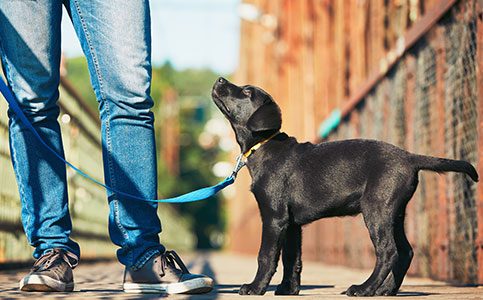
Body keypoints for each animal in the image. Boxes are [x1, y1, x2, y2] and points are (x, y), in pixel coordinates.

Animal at [213, 78, 480, 298]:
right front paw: (288, 289)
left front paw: (255, 287)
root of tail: (410, 157)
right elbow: (292, 258)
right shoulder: (291, 224)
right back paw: (385, 290)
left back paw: (364, 289)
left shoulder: (274, 217)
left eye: (247, 91)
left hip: (376, 210)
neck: (264, 146)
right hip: (395, 213)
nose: (220, 79)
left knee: (388, 251)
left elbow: (266, 256)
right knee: (405, 252)